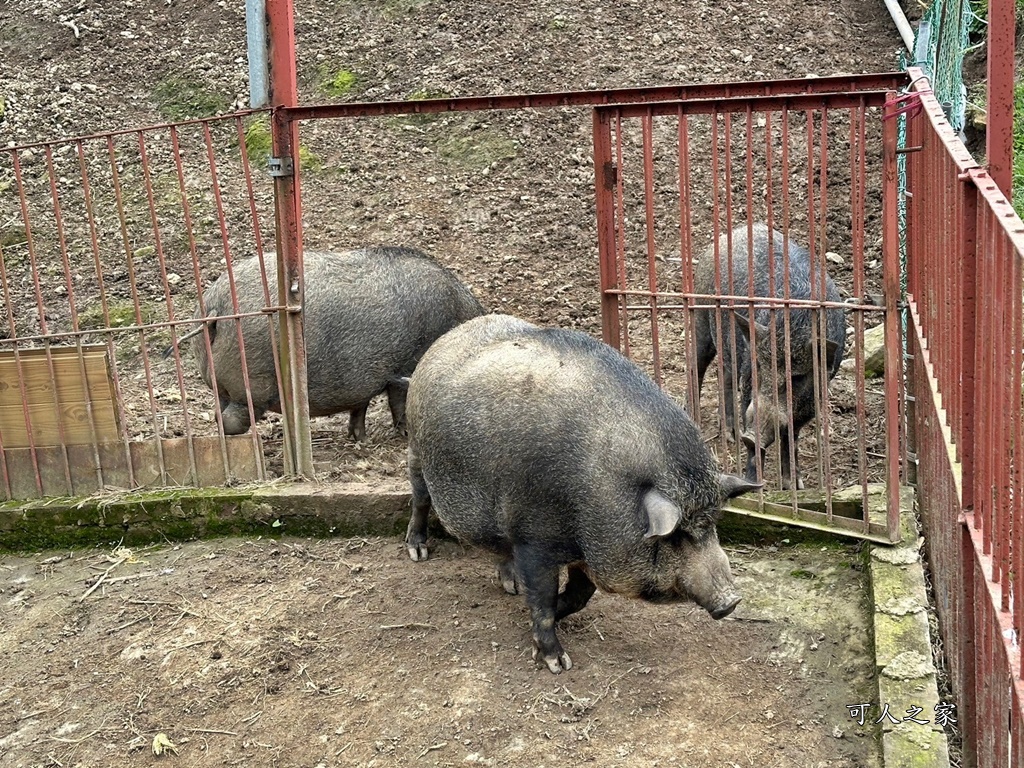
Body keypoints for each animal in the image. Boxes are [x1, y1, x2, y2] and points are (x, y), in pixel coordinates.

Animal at [193, 246, 485, 438]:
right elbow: (398, 400)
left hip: (221, 385)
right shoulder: (406, 366)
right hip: (252, 383)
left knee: (220, 412)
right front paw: (402, 435)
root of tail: (216, 306)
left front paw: (359, 438)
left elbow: (361, 407)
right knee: (233, 419)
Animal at [401, 313, 761, 671]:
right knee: (420, 499)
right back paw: (418, 551)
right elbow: (544, 600)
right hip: (416, 450)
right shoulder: (534, 537)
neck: (597, 489)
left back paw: (511, 587)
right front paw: (558, 663)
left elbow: (579, 596)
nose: (732, 600)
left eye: (712, 523)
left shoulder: (587, 549)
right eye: (676, 535)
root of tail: (443, 341)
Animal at [692, 222, 843, 489]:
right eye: (761, 367)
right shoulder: (749, 381)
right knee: (695, 366)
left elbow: (790, 437)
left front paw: (794, 485)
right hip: (701, 317)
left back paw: (730, 435)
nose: (751, 436)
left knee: (726, 376)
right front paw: (754, 482)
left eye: (797, 378)